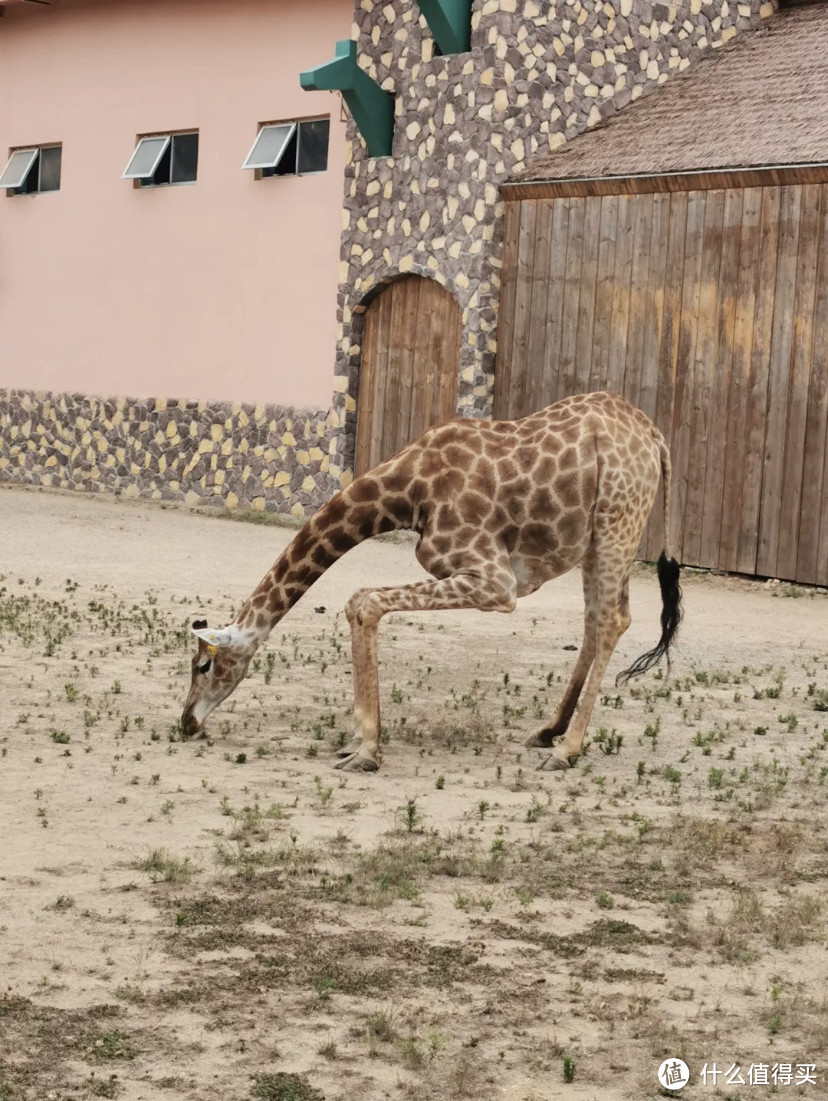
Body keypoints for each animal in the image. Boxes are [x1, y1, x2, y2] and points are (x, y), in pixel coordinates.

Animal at [183, 396, 682, 775]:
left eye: (204, 666)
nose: (186, 723)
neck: (409, 492)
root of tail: (656, 437)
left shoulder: (496, 583)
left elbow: (367, 602)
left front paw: (366, 750)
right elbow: (357, 600)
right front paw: (356, 740)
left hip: (618, 521)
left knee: (612, 619)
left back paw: (567, 750)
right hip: (596, 538)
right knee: (596, 620)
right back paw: (548, 731)